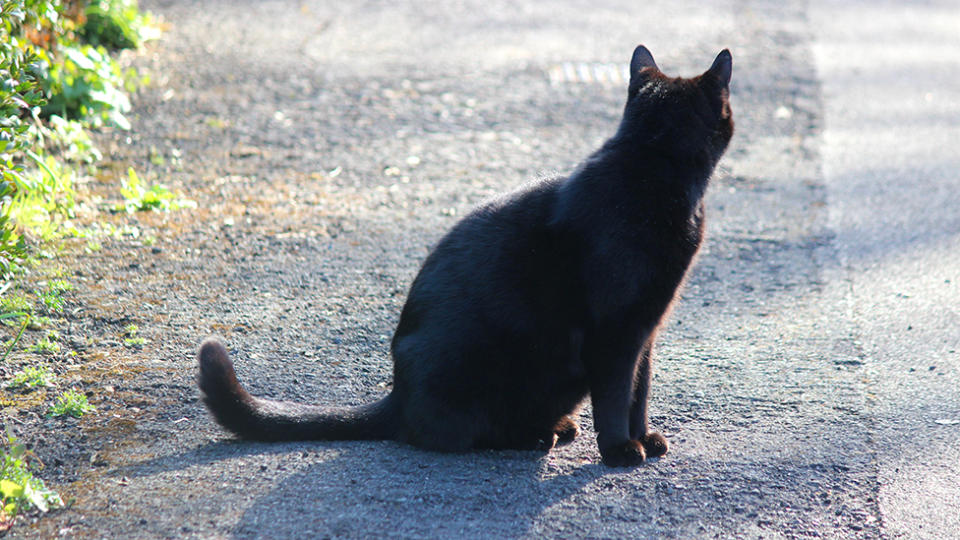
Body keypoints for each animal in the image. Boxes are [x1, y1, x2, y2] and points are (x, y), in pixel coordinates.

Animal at [197, 45, 736, 468]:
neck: (652, 167)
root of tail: (397, 393)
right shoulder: (615, 331)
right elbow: (615, 395)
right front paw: (621, 450)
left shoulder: (647, 327)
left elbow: (639, 391)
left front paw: (644, 437)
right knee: (447, 435)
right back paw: (535, 436)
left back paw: (558, 426)